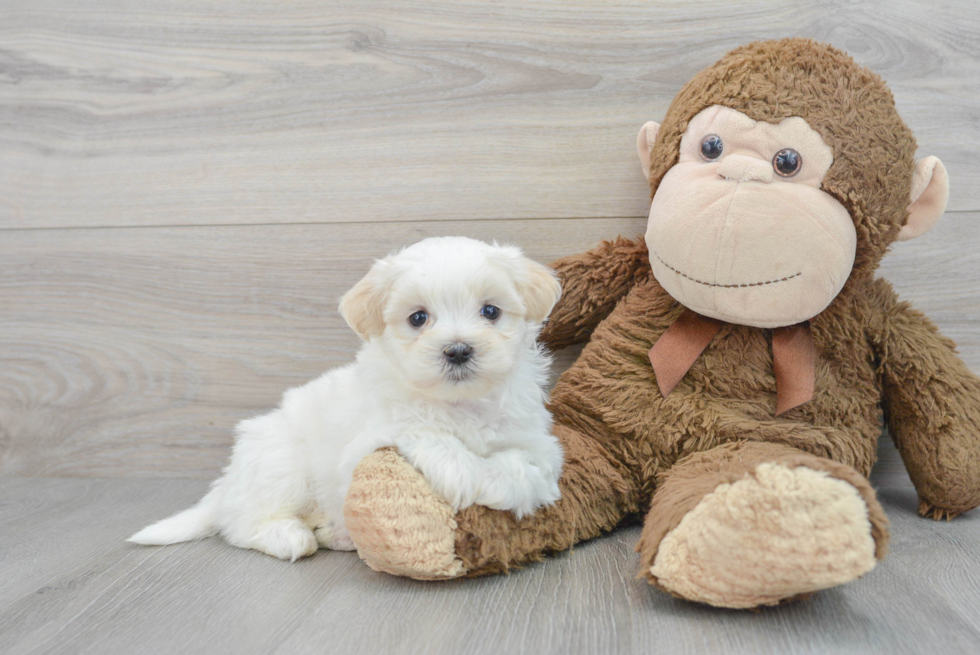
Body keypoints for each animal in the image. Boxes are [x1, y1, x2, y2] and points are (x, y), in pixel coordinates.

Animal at [126, 238, 564, 560]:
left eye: (490, 311)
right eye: (418, 318)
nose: (457, 350)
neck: (460, 404)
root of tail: (229, 483)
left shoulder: (538, 442)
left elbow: (525, 468)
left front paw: (497, 481)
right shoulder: (372, 440)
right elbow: (431, 437)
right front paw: (469, 475)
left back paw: (336, 534)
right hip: (280, 461)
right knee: (241, 524)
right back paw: (288, 535)